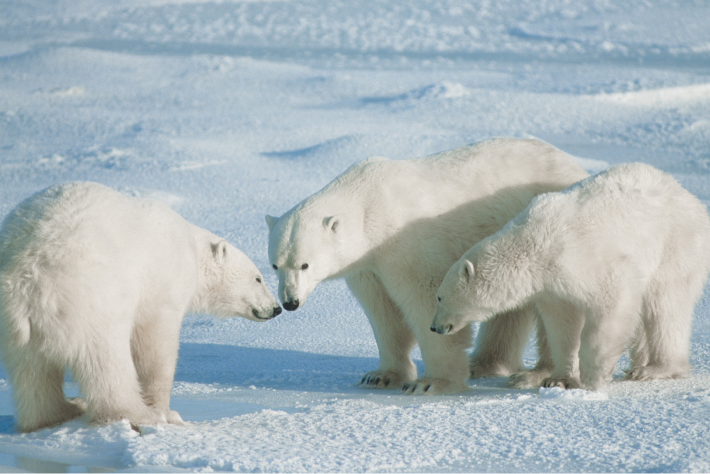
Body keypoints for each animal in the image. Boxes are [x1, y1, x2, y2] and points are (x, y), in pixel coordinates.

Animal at [0, 181, 281, 432]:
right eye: (258, 278)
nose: (276, 308)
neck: (190, 245)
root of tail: (26, 280)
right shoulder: (160, 281)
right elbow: (155, 343)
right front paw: (164, 410)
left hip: (14, 328)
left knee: (32, 374)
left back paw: (64, 409)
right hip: (90, 301)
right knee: (107, 361)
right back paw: (137, 413)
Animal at [265, 138, 589, 395]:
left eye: (305, 264)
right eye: (275, 265)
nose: (290, 302)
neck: (370, 203)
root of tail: (575, 165)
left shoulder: (407, 243)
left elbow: (424, 298)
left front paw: (431, 382)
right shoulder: (367, 266)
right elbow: (383, 312)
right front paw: (381, 376)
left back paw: (536, 374)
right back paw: (484, 363)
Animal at [431, 162, 710, 391]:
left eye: (440, 297)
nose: (435, 327)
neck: (534, 243)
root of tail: (691, 198)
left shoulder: (583, 259)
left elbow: (612, 300)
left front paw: (593, 376)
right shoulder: (550, 285)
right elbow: (561, 323)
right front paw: (559, 379)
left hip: (674, 246)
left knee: (666, 305)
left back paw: (654, 369)